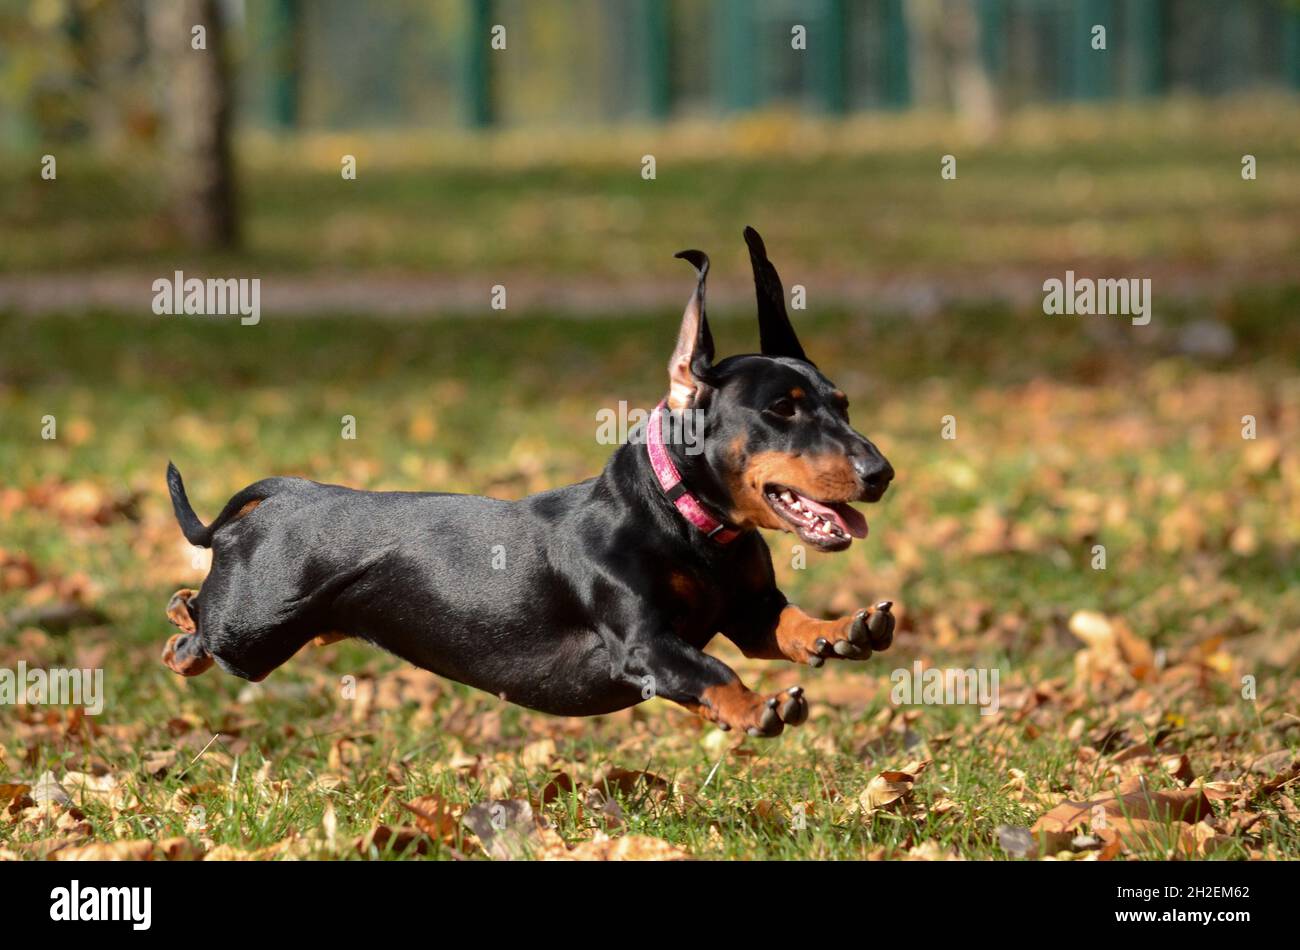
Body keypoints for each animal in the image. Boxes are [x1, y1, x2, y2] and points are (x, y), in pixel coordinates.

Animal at [162, 228, 894, 738]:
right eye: (782, 410)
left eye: (844, 404)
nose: (881, 475)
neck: (683, 523)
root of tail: (292, 492)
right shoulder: (645, 644)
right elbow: (711, 668)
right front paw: (752, 707)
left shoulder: (749, 612)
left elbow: (787, 625)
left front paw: (845, 628)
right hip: (252, 632)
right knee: (199, 630)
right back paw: (178, 625)